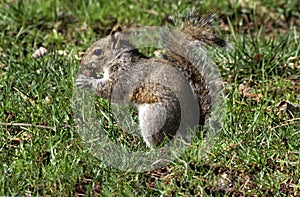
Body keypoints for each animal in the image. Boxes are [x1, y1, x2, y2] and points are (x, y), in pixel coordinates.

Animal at [75, 11, 227, 148]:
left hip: (154, 116)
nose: (82, 62)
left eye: (97, 52)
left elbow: (111, 90)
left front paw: (86, 81)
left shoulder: (123, 75)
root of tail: (191, 128)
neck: (119, 57)